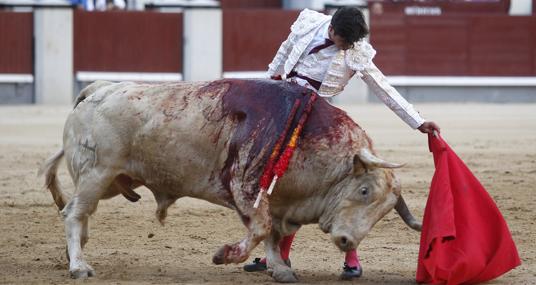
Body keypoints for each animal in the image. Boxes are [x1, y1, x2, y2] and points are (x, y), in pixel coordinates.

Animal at [39, 79, 420, 280]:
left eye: (384, 212)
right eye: (364, 189)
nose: (346, 240)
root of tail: (98, 88)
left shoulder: (279, 200)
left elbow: (275, 234)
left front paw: (279, 269)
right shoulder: (247, 188)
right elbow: (262, 228)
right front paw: (225, 256)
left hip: (111, 180)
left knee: (79, 212)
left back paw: (76, 252)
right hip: (97, 173)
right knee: (73, 213)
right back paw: (79, 265)